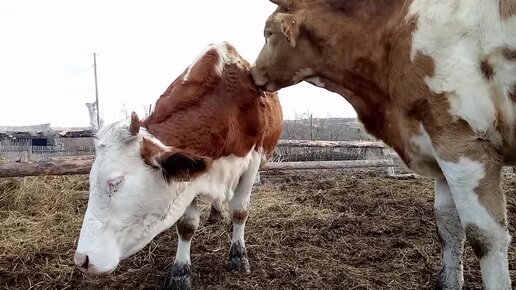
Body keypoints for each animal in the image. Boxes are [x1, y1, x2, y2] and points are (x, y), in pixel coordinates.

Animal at [72, 41, 282, 290]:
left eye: (115, 182)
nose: (82, 259)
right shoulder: (188, 177)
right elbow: (187, 226)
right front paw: (181, 272)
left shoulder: (252, 162)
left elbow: (240, 211)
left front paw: (238, 256)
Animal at [252, 0, 516, 290]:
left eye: (268, 33)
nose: (252, 73)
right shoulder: (439, 143)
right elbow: (447, 224)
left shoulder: (464, 143)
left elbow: (485, 237)